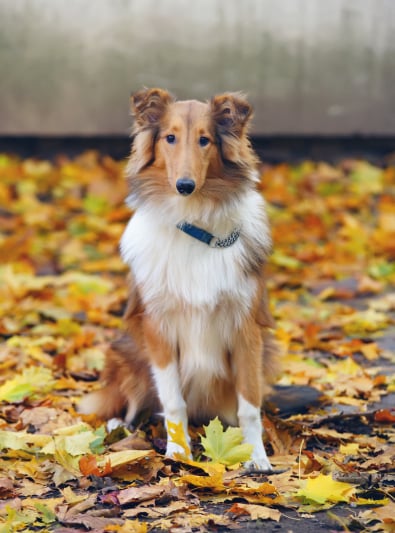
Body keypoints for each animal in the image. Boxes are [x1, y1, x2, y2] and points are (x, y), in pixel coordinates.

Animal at [79, 87, 278, 470]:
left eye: (204, 140)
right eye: (169, 138)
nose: (185, 185)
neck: (193, 222)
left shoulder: (246, 329)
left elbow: (249, 405)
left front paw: (255, 456)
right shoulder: (158, 326)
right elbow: (172, 401)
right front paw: (179, 453)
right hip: (126, 352)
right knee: (130, 405)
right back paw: (118, 428)